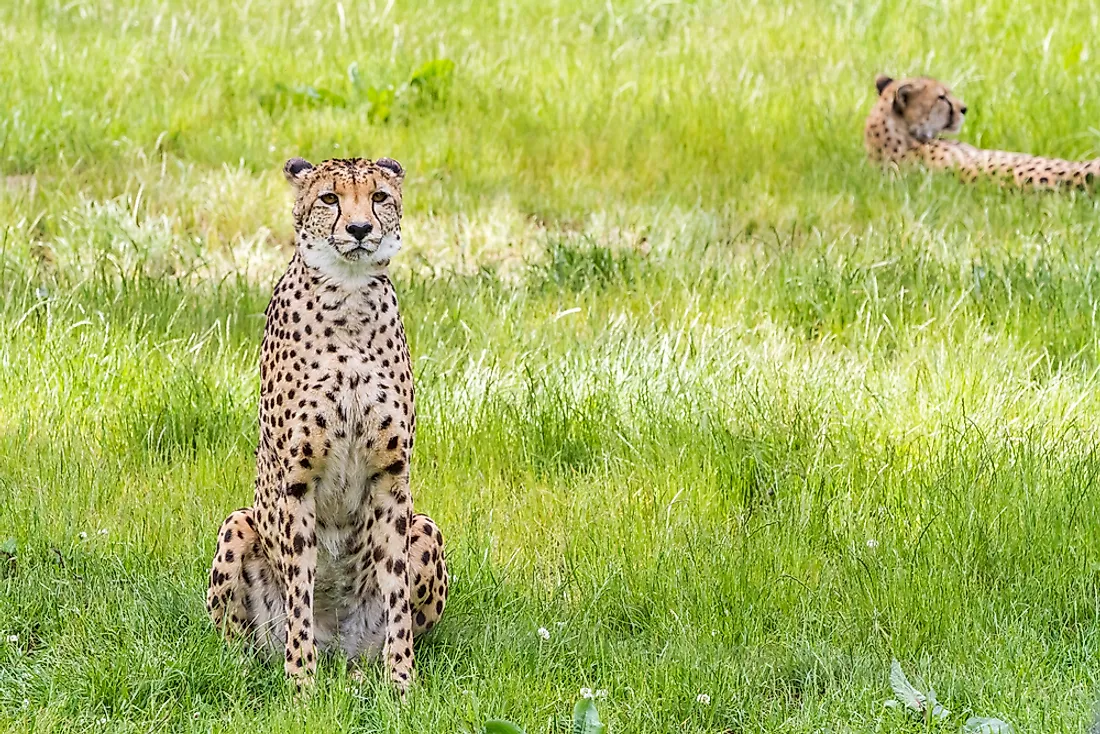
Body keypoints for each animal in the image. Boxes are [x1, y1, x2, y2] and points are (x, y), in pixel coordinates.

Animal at [206, 155, 446, 695]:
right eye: (329, 199)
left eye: (379, 197)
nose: (359, 229)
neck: (349, 298)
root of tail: (339, 647)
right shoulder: (296, 481)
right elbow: (300, 590)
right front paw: (301, 686)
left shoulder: (392, 478)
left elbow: (396, 595)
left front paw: (402, 683)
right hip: (237, 525)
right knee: (237, 644)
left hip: (426, 527)